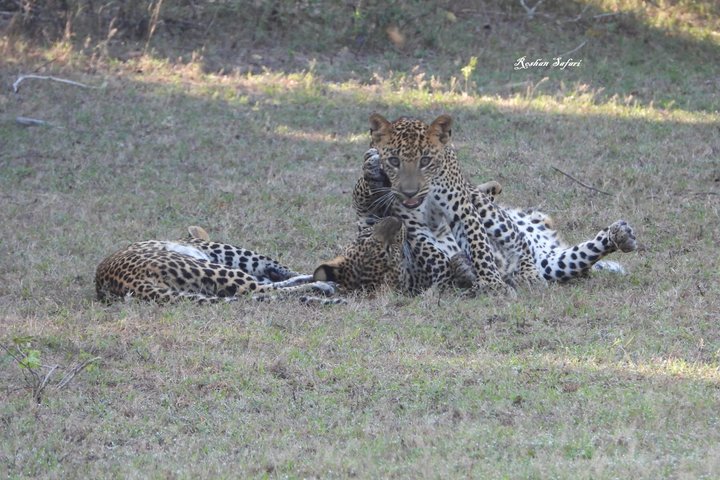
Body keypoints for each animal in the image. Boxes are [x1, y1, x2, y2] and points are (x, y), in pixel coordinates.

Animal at [95, 226, 341, 304]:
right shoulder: (225, 250)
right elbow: (275, 270)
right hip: (211, 268)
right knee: (257, 289)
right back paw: (321, 286)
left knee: (259, 289)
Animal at [348, 113, 637, 292]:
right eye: (395, 161)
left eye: (426, 161)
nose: (409, 192)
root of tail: (543, 245)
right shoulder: (413, 230)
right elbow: (439, 258)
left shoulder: (461, 208)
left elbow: (478, 246)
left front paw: (491, 282)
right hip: (553, 262)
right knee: (572, 259)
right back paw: (619, 236)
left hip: (491, 214)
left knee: (518, 241)